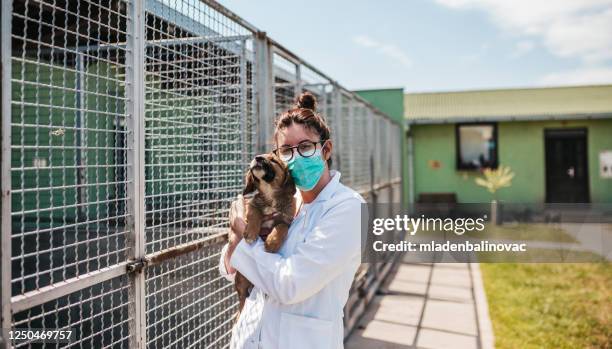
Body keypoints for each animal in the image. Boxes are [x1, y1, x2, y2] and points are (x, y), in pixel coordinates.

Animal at [234, 152, 296, 318]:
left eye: (274, 160)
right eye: (258, 156)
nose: (258, 158)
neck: (270, 193)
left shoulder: (287, 220)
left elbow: (281, 227)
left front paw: (272, 242)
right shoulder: (252, 205)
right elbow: (254, 213)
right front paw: (250, 233)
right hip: (241, 279)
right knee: (241, 299)